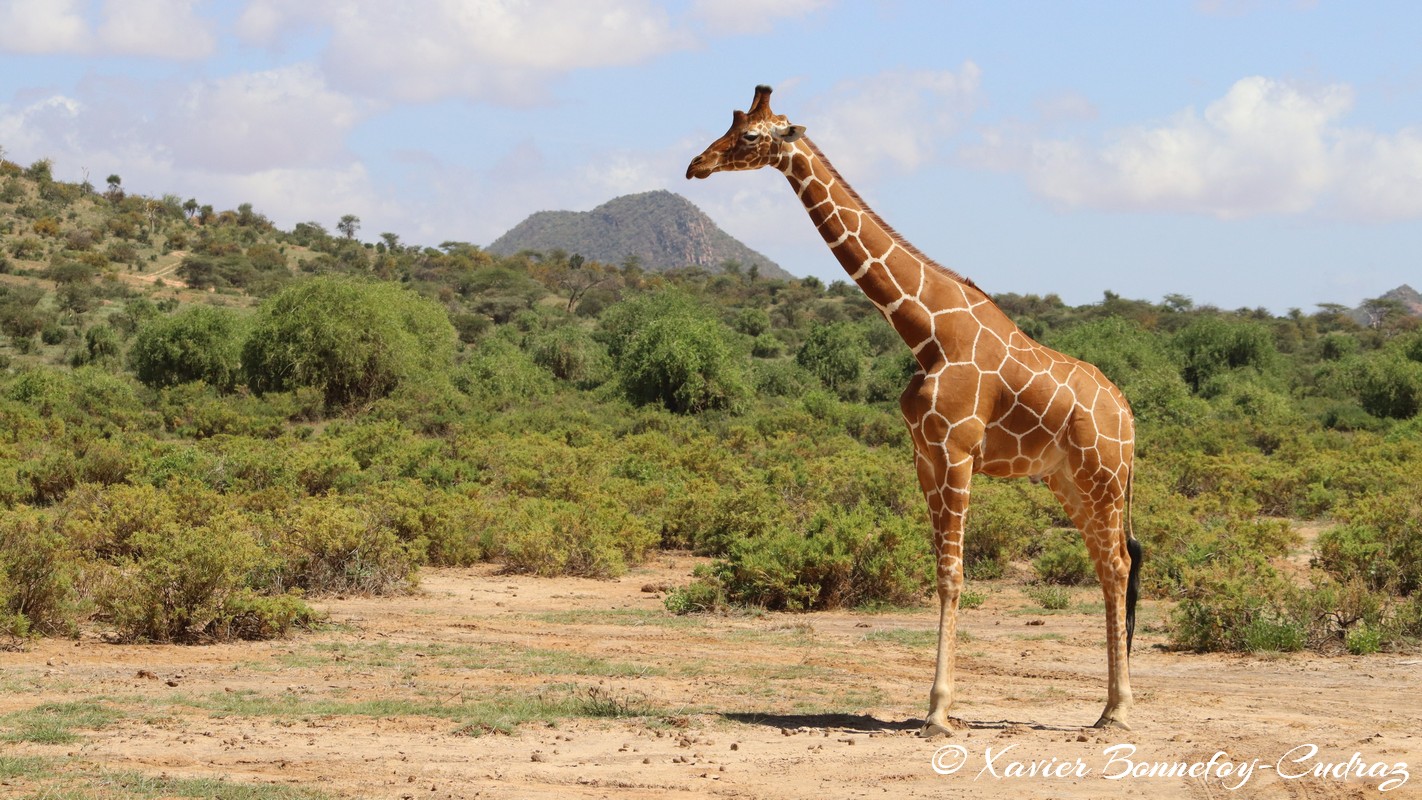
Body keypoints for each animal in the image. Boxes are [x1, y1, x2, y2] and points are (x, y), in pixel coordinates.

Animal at [687, 85, 1143, 736]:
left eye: (750, 136)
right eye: (730, 125)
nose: (695, 165)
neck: (924, 330)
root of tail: (1128, 413)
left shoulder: (957, 450)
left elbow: (954, 576)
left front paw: (938, 711)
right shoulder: (924, 454)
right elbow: (938, 573)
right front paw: (937, 705)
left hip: (1102, 477)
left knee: (1120, 567)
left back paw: (1121, 710)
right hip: (1069, 481)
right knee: (1108, 567)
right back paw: (1105, 709)